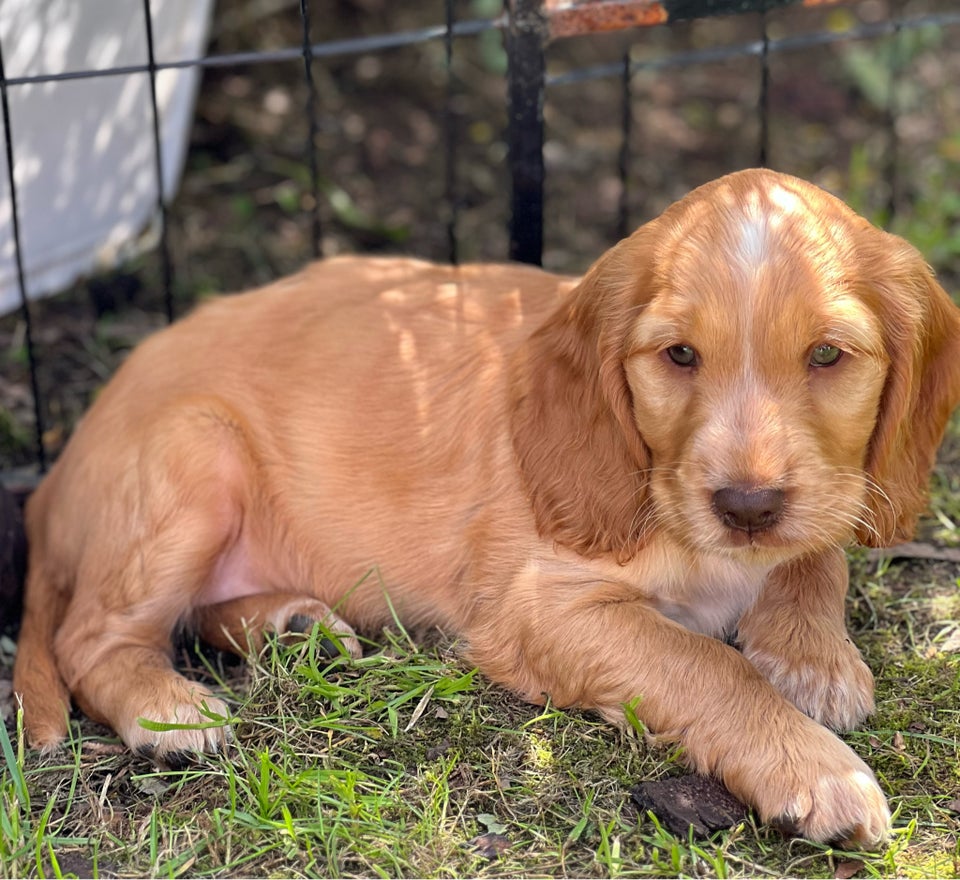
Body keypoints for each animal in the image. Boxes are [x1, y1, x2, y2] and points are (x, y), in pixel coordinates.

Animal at [13, 167, 960, 844]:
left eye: (827, 356)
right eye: (679, 356)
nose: (747, 505)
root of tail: (57, 472)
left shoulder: (819, 498)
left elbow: (816, 553)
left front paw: (813, 659)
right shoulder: (541, 609)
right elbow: (704, 665)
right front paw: (819, 771)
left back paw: (292, 624)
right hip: (195, 459)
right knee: (90, 638)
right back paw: (166, 709)